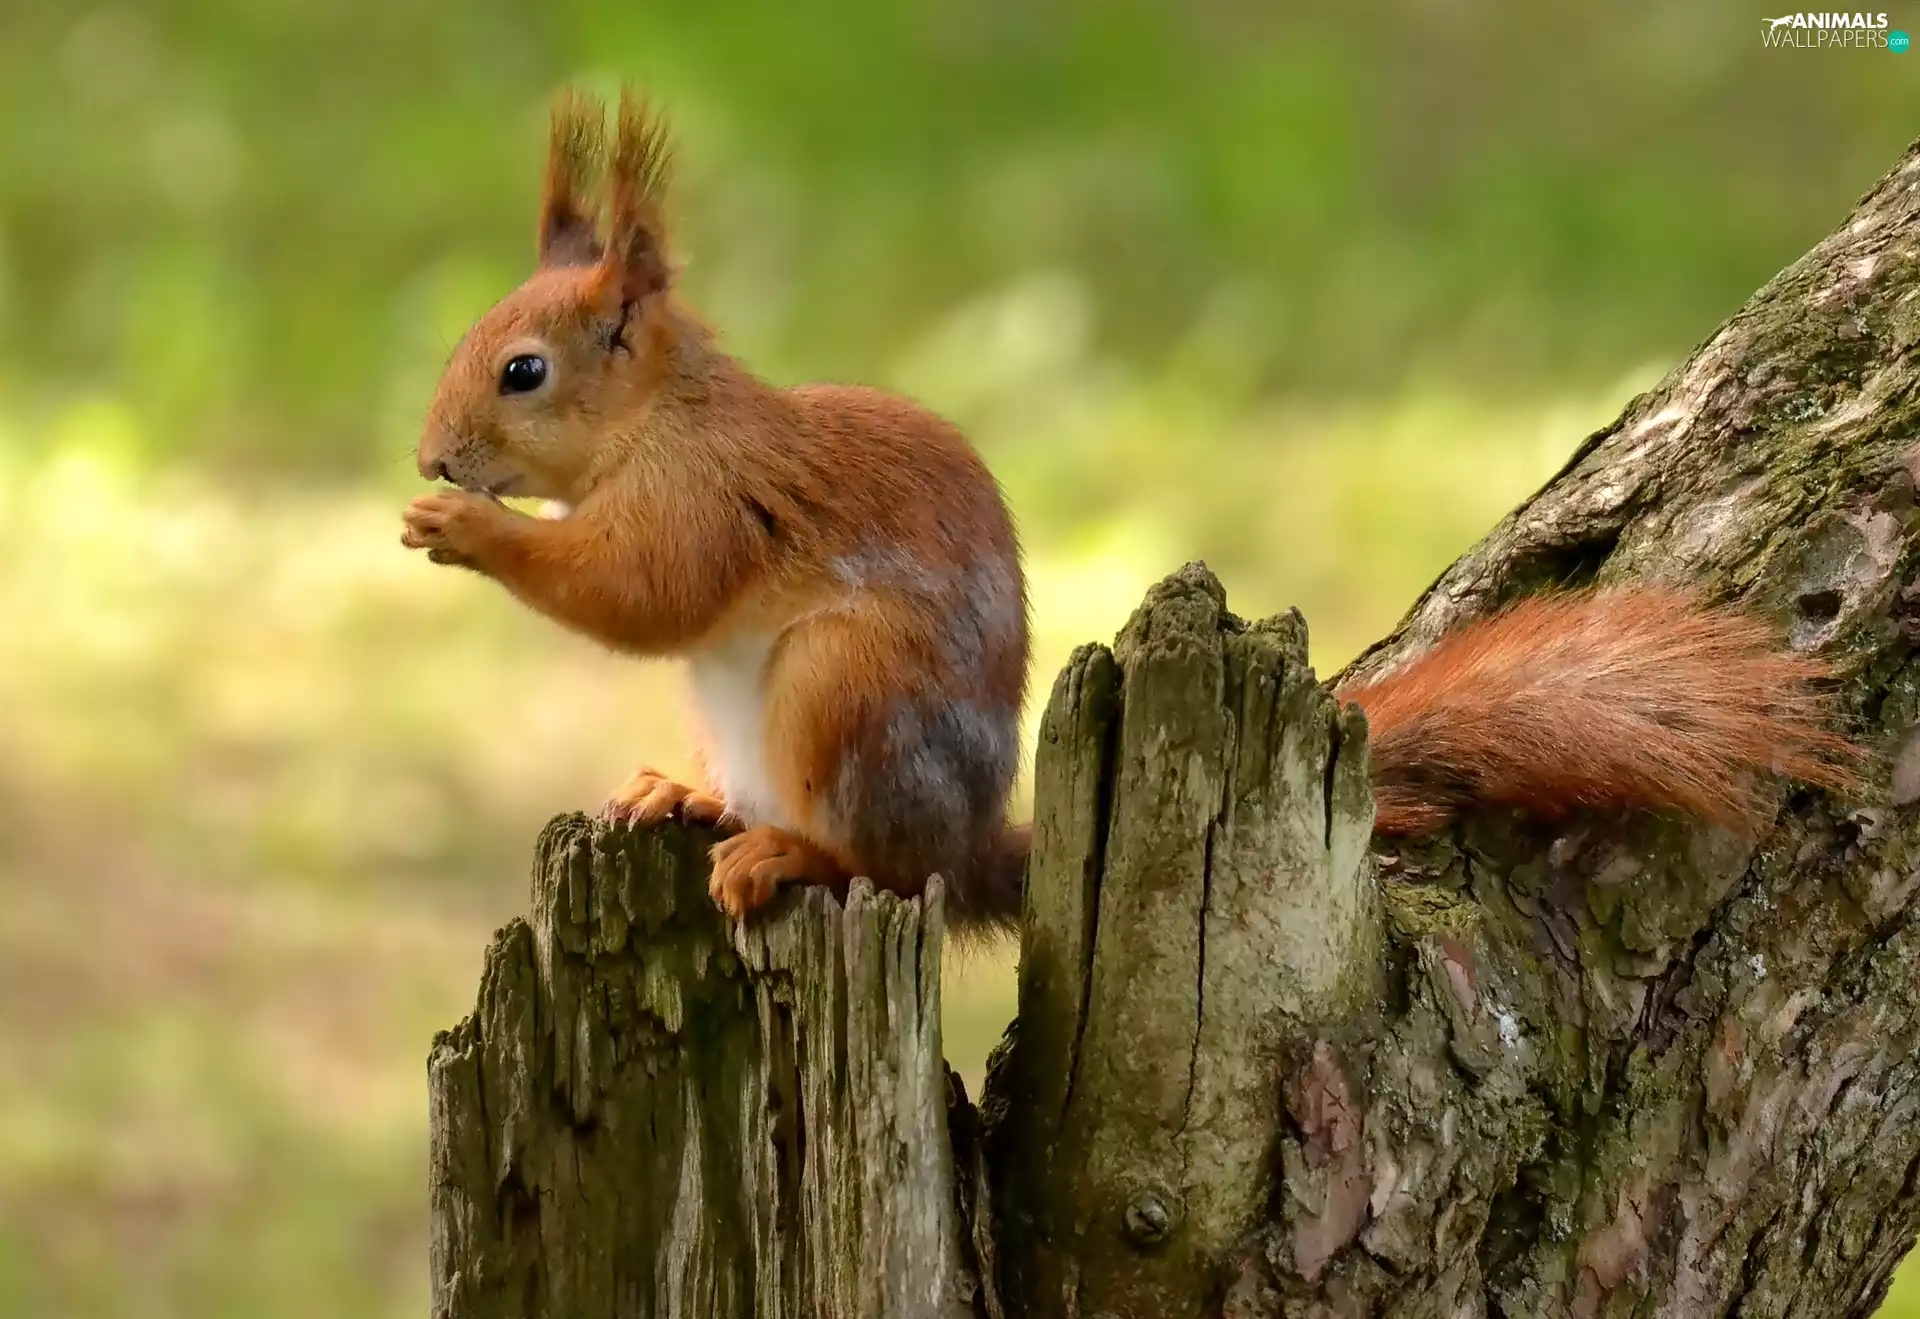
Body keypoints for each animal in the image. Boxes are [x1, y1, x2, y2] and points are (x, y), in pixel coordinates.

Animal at [401, 89, 1861, 928]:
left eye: (523, 370)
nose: (431, 457)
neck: (664, 416)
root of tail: (974, 841)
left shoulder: (709, 500)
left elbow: (640, 592)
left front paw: (470, 535)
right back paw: (687, 792)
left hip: (845, 692)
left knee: (888, 868)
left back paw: (788, 855)